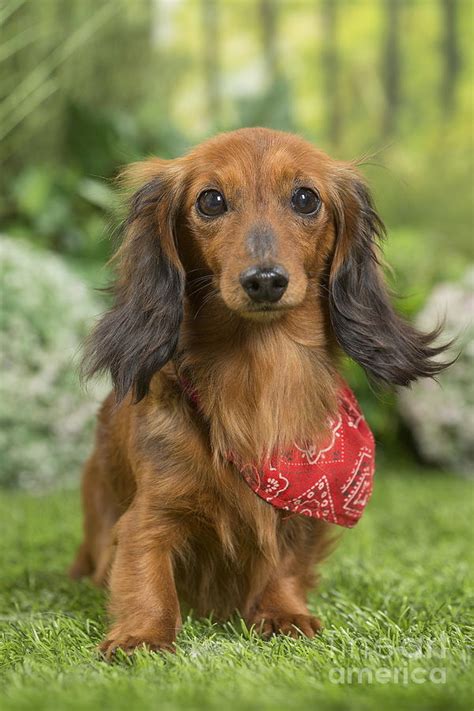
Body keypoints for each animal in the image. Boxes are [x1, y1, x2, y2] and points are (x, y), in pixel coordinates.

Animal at [70, 126, 448, 656]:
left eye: (306, 198)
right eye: (210, 200)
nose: (265, 281)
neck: (260, 375)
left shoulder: (302, 512)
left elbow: (284, 562)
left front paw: (282, 612)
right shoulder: (149, 514)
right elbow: (147, 574)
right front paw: (141, 636)